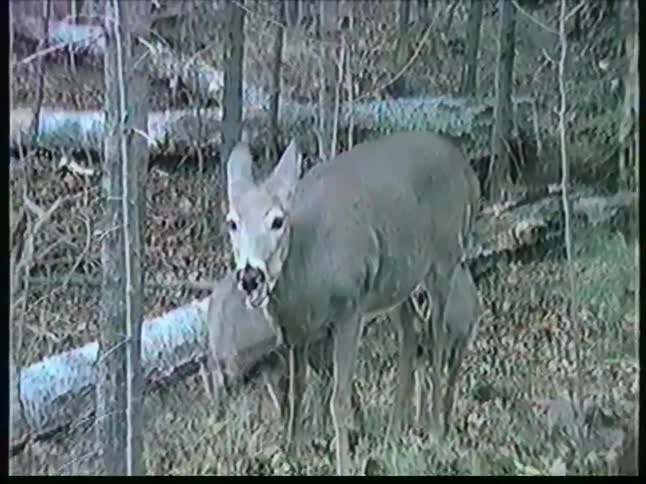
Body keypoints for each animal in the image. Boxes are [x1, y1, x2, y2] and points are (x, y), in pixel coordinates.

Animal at [224, 131, 481, 475]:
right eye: (232, 222)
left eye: (277, 221)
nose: (251, 276)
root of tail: (467, 171)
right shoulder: (297, 335)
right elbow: (297, 394)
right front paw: (292, 457)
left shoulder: (350, 307)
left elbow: (339, 399)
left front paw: (343, 464)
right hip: (396, 281)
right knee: (411, 334)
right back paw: (393, 436)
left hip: (444, 258)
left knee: (436, 341)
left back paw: (437, 434)